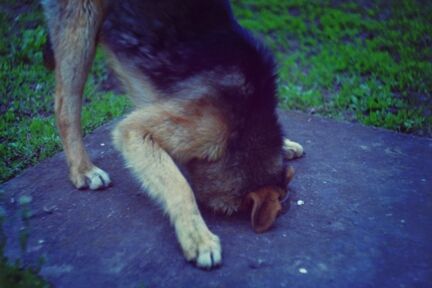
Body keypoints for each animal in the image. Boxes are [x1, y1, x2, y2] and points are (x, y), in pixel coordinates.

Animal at [41, 0, 304, 270]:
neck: (248, 123)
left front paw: (285, 145)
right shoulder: (151, 131)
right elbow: (179, 185)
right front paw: (197, 237)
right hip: (81, 30)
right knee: (65, 107)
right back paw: (83, 169)